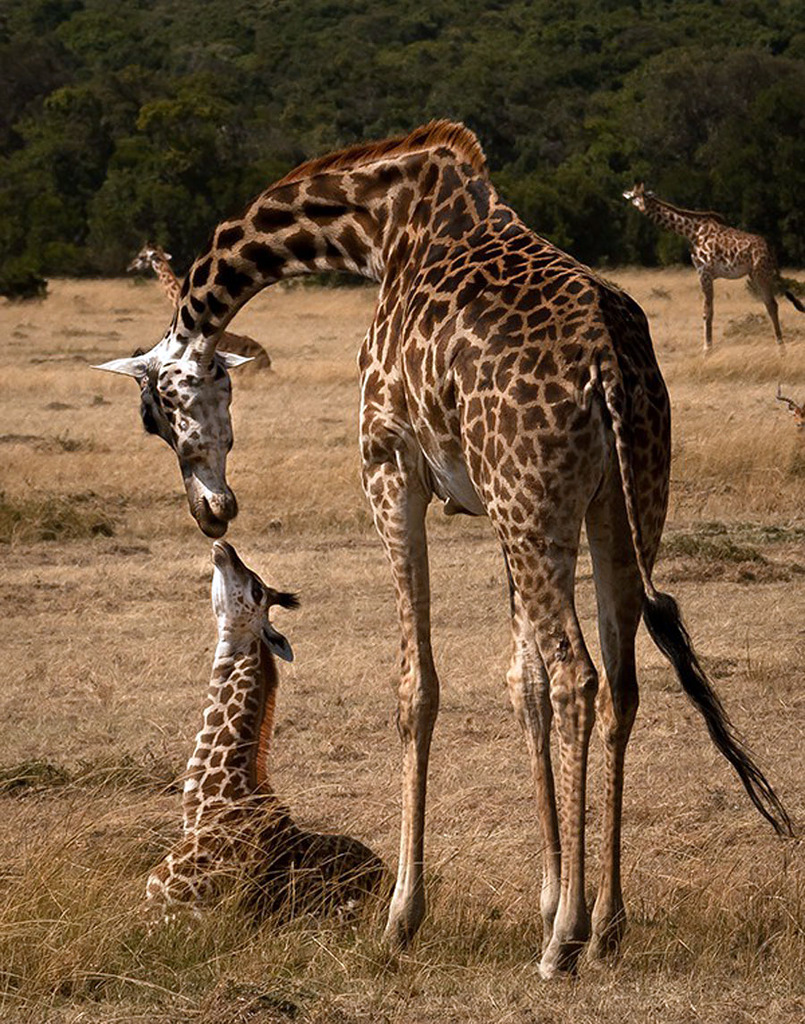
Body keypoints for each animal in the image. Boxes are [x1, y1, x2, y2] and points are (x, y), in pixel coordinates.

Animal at [623, 183, 783, 351]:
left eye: (643, 196)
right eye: (633, 196)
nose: (641, 206)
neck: (692, 232)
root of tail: (769, 248)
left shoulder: (704, 272)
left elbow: (707, 311)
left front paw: (707, 349)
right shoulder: (705, 273)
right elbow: (709, 310)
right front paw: (708, 347)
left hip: (761, 273)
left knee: (772, 305)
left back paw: (781, 348)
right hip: (755, 274)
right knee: (769, 304)